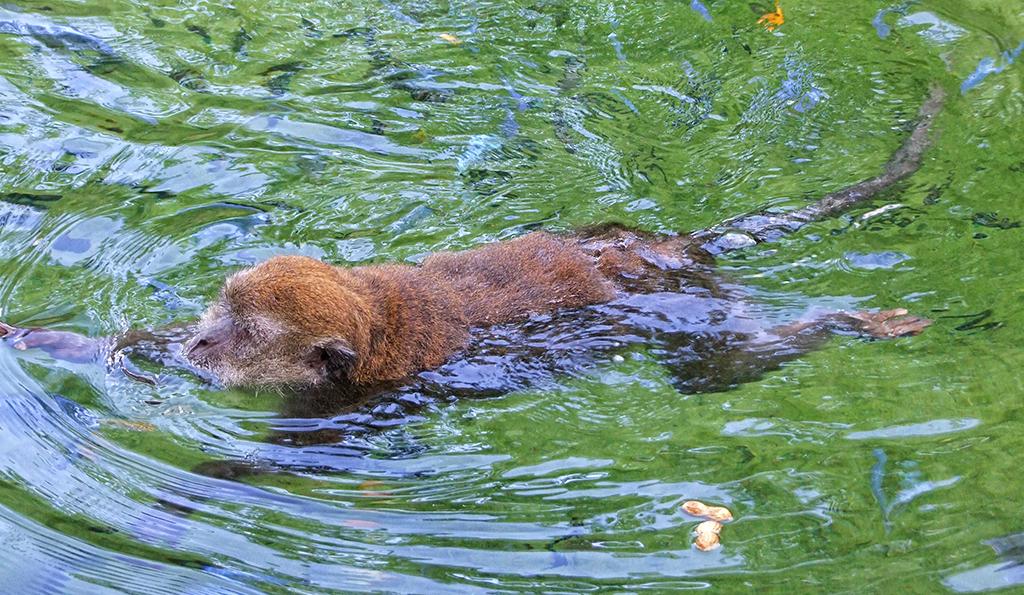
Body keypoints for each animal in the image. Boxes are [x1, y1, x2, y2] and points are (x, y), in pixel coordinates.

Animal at [0, 85, 944, 400]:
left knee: (715, 368)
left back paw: (847, 323)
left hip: (691, 304)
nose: (202, 342)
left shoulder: (349, 402)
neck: (374, 320)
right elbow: (129, 347)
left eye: (242, 334)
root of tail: (660, 247)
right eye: (216, 312)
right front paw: (40, 338)